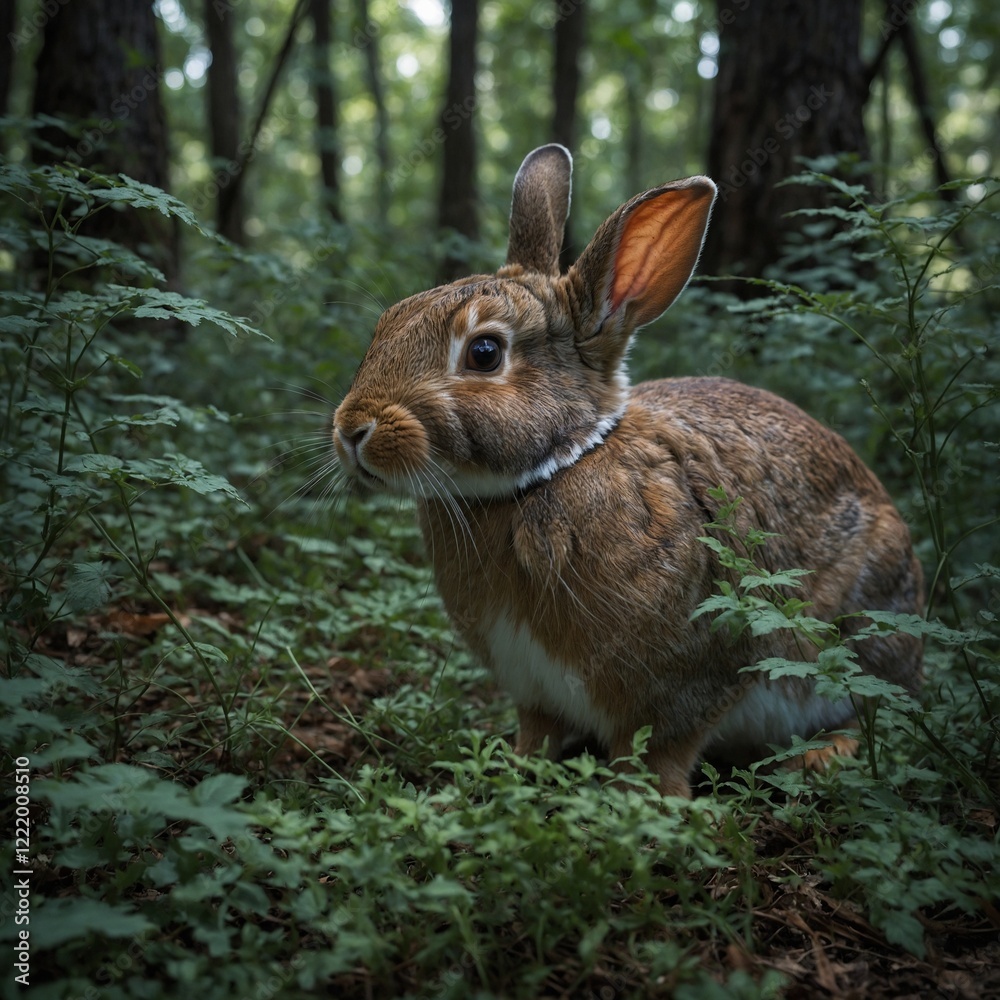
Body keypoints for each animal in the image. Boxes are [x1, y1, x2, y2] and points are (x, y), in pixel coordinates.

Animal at [332, 144, 923, 797]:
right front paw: (516, 768)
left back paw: (821, 756)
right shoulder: (534, 688)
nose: (352, 431)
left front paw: (648, 801)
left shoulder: (694, 672)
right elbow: (538, 732)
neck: (549, 473)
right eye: (389, 321)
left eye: (485, 353)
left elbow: (662, 750)